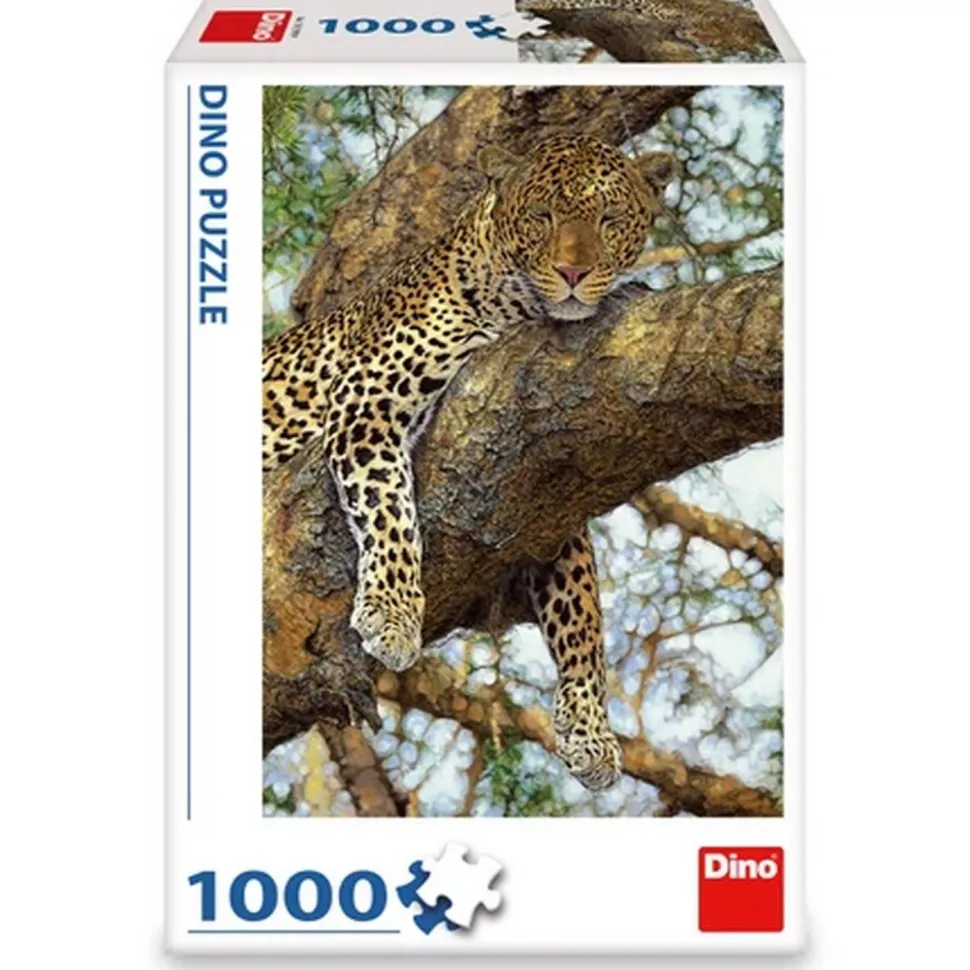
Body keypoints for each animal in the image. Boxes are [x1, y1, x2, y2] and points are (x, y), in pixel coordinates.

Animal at [263, 134, 678, 791]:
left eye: (610, 220)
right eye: (542, 217)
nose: (574, 274)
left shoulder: (549, 497)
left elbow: (583, 609)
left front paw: (590, 730)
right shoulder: (365, 400)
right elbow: (390, 511)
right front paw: (392, 614)